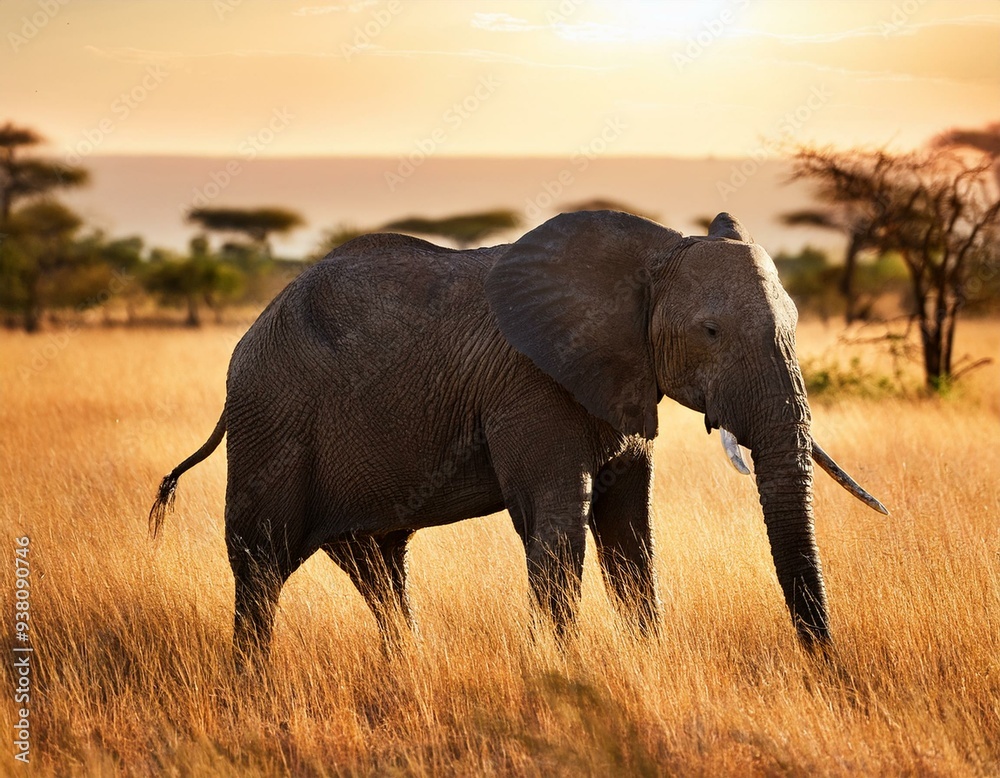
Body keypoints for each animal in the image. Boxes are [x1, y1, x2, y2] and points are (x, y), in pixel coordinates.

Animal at [149, 210, 887, 663]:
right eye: (710, 332)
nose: (823, 669)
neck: (650, 254)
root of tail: (248, 339)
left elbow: (630, 529)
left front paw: (645, 661)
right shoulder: (528, 385)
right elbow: (558, 518)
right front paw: (564, 674)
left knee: (376, 564)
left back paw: (408, 669)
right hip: (271, 422)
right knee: (261, 565)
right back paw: (251, 688)